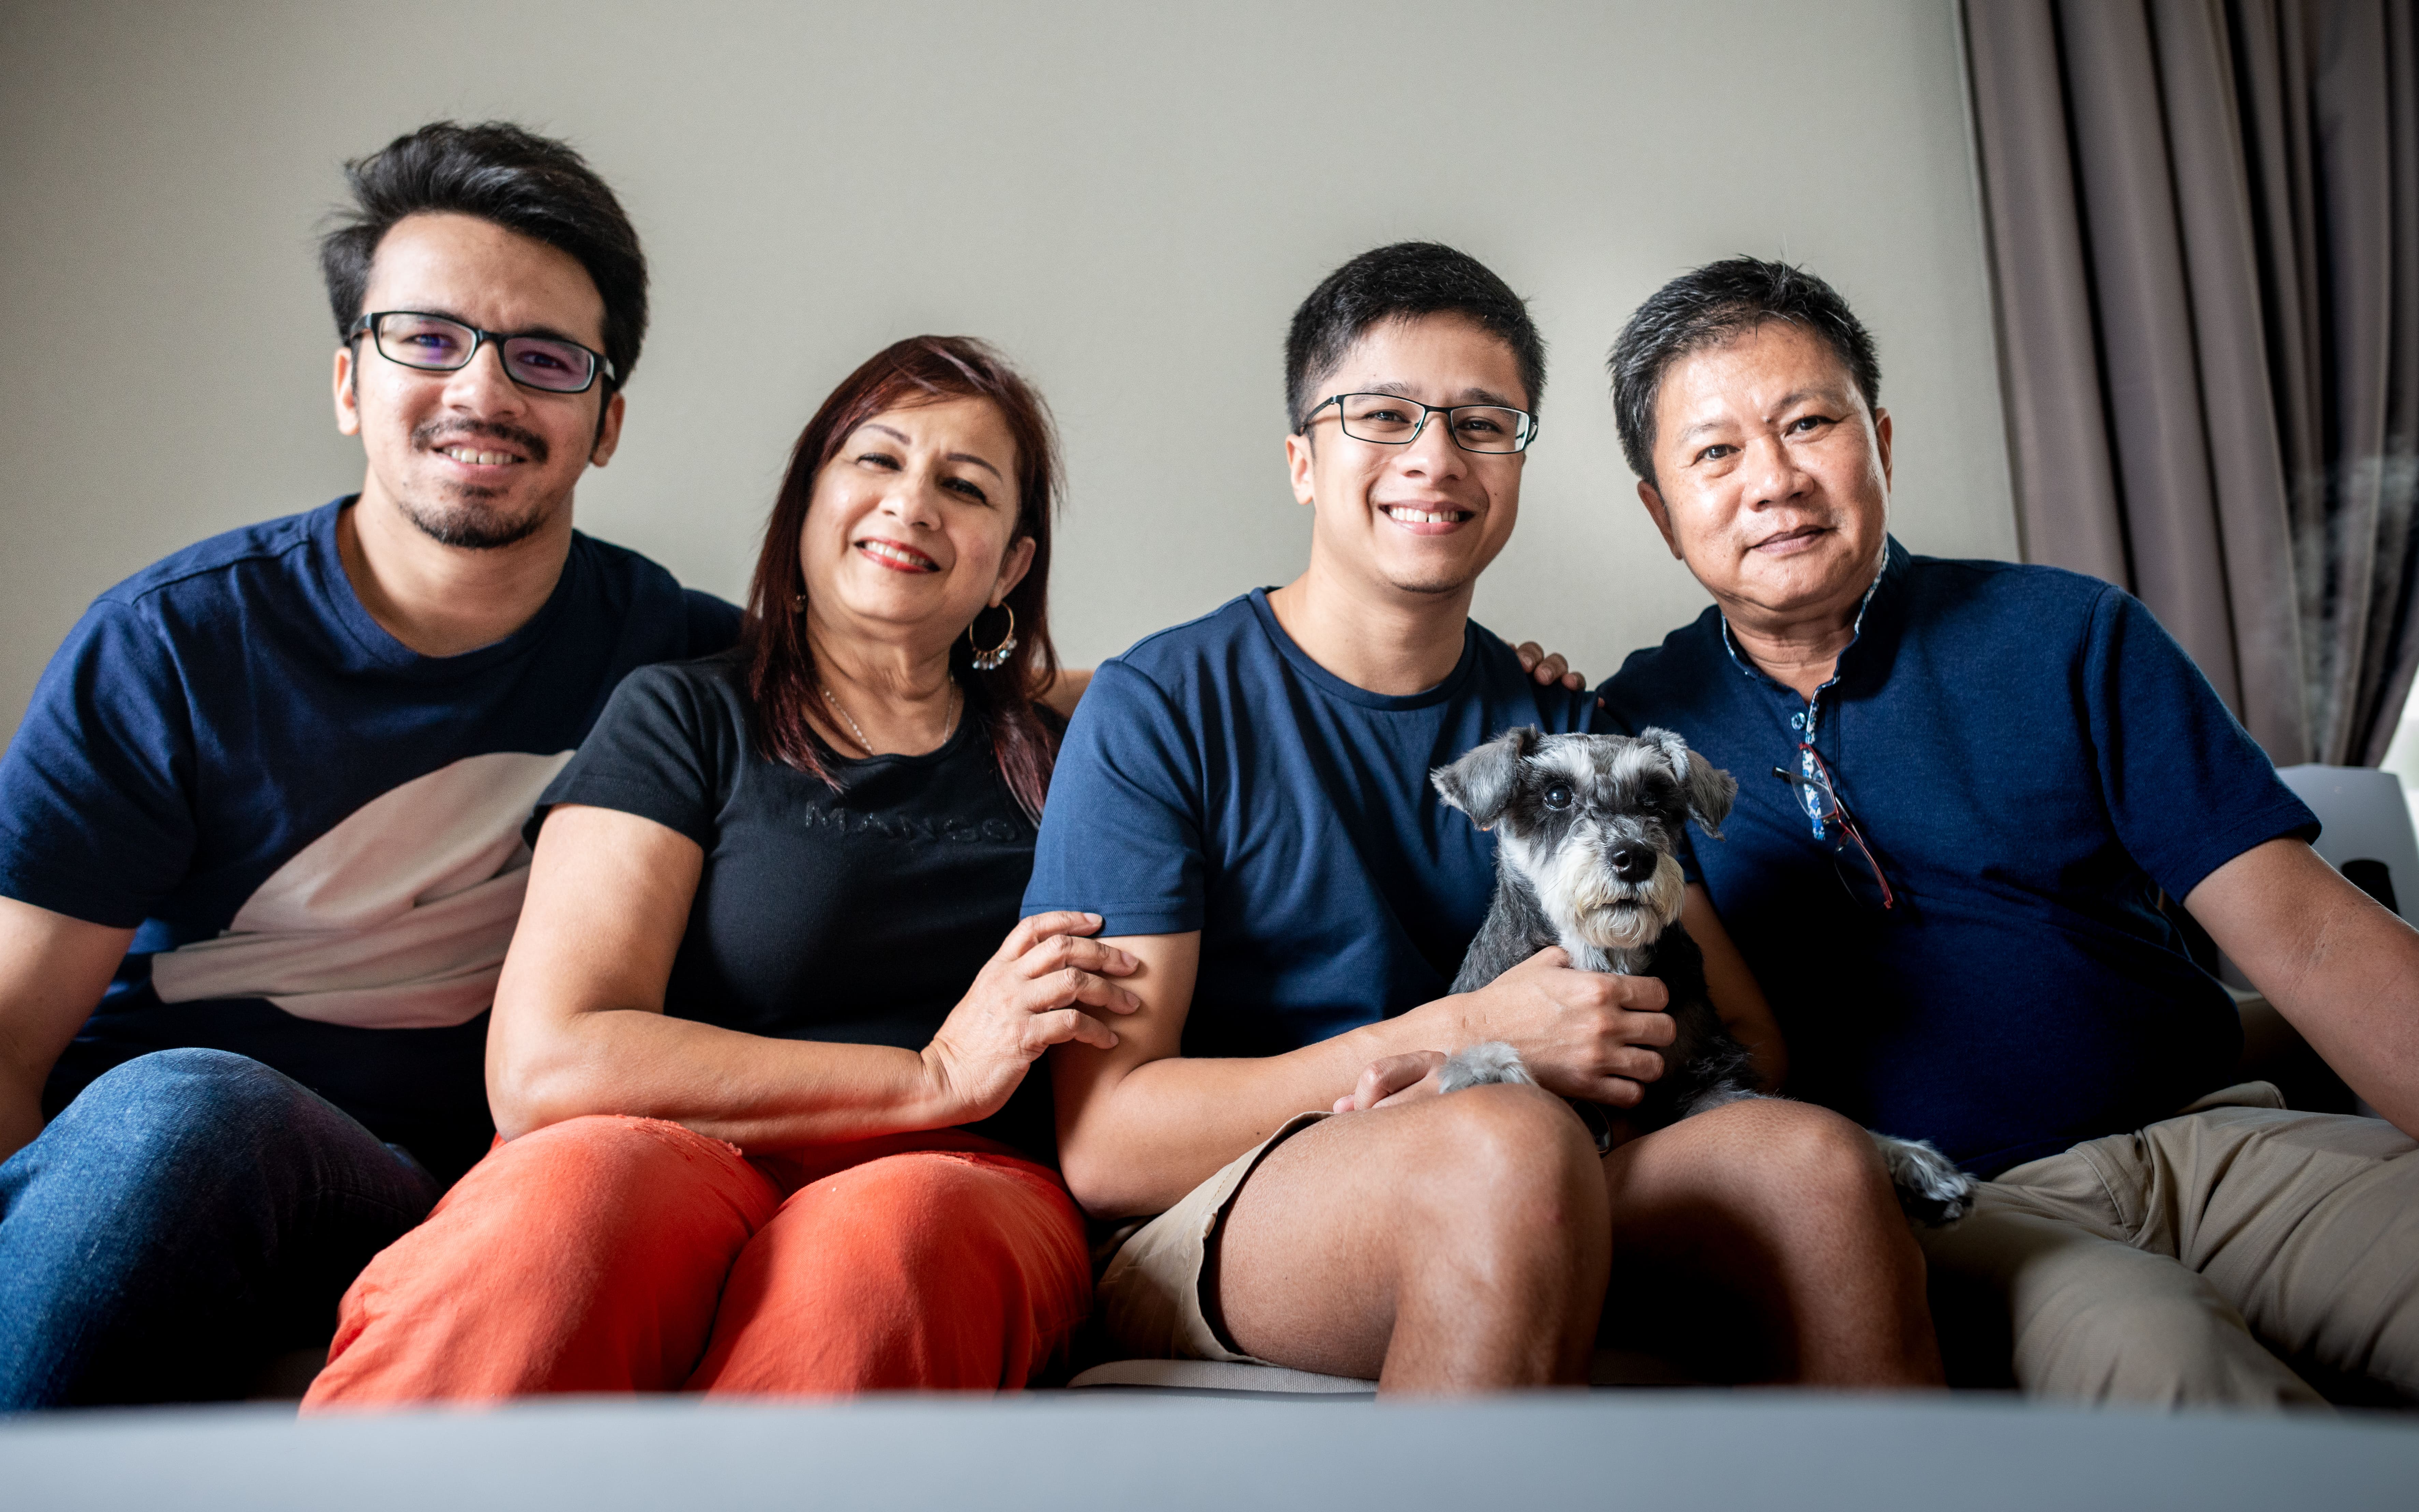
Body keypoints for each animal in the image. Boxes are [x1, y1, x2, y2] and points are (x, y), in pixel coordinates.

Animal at [1422, 721, 1974, 1229]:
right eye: (1557, 795)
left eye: (1654, 798)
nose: (1634, 857)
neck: (1608, 960)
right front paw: (1483, 1071)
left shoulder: (1707, 1079)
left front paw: (1905, 1158)